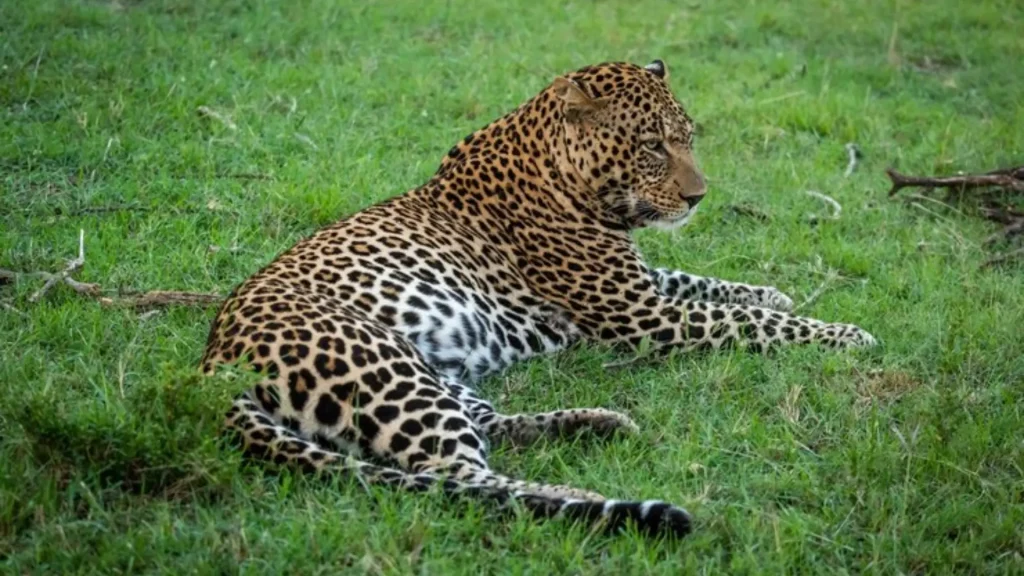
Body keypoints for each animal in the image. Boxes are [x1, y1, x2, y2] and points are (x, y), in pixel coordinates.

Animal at [201, 59, 876, 539]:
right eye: (653, 146)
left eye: (688, 138)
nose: (698, 198)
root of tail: (211, 362)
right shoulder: (643, 315)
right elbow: (745, 322)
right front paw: (847, 334)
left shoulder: (643, 287)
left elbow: (707, 283)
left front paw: (775, 291)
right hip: (382, 365)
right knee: (456, 478)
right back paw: (592, 501)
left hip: (432, 373)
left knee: (487, 429)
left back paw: (598, 426)